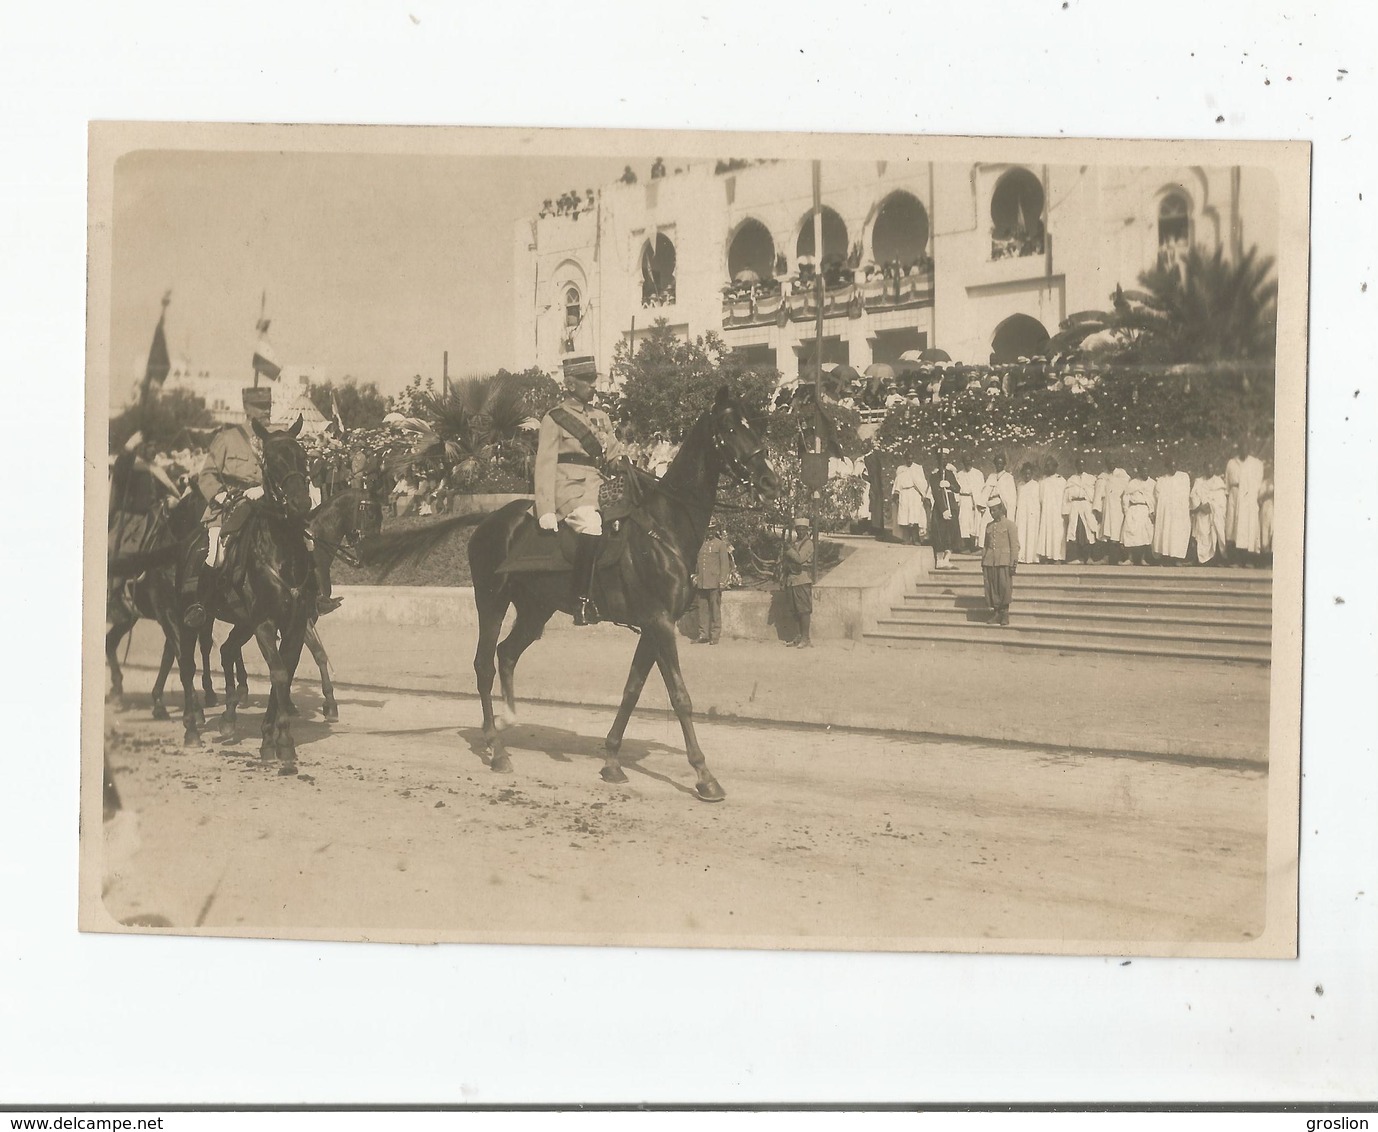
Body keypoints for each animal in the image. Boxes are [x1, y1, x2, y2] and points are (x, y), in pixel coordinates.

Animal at [363, 388, 777, 805]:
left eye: (754, 425)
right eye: (729, 427)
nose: (769, 479)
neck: (663, 529)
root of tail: (489, 519)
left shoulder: (652, 626)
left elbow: (632, 690)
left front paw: (612, 759)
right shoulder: (660, 623)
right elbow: (679, 696)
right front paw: (704, 775)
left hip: (536, 611)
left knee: (506, 653)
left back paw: (508, 719)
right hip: (491, 602)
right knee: (484, 664)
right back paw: (496, 748)